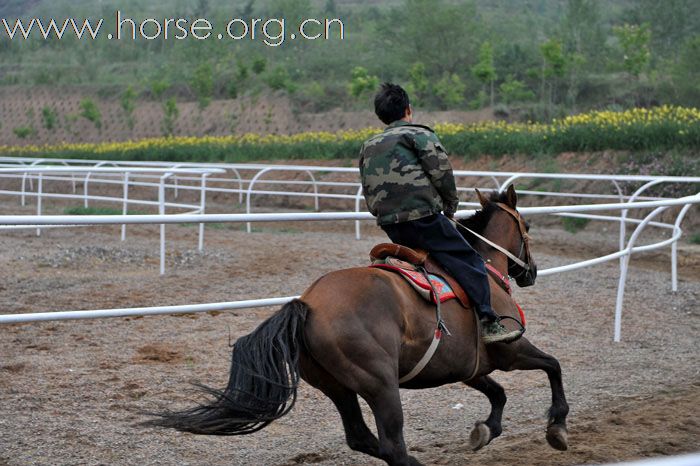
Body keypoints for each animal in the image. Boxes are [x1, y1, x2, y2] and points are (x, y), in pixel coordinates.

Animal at [152, 186, 568, 466]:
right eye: (527, 224)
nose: (531, 272)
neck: (482, 268)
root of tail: (308, 304)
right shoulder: (512, 351)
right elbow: (552, 366)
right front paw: (557, 427)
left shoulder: (467, 368)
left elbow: (498, 394)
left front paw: (486, 430)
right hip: (380, 385)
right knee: (391, 445)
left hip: (337, 386)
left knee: (362, 438)